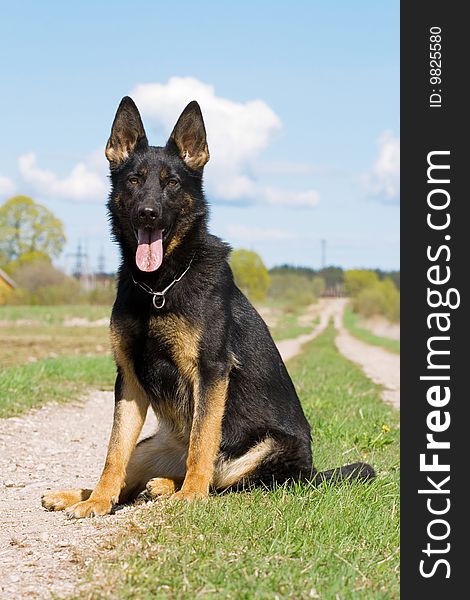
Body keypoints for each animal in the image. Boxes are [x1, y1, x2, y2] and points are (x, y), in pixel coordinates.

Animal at [41, 97, 374, 516]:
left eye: (171, 183)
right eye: (134, 180)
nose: (148, 213)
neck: (159, 285)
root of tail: (312, 474)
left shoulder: (211, 371)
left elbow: (202, 441)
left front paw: (190, 495)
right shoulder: (128, 379)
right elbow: (113, 452)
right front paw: (99, 500)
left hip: (266, 448)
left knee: (224, 480)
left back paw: (172, 488)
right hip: (150, 446)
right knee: (134, 474)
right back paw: (89, 493)